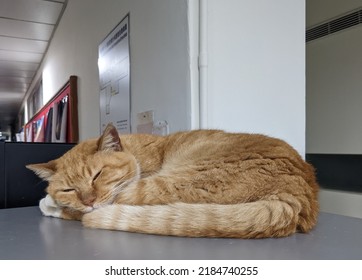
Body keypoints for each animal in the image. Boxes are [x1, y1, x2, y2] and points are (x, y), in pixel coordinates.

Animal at [26, 123, 318, 237]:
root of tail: (299, 195)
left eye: (98, 175)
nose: (89, 201)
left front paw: (49, 203)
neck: (138, 152)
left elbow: (69, 210)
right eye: (69, 188)